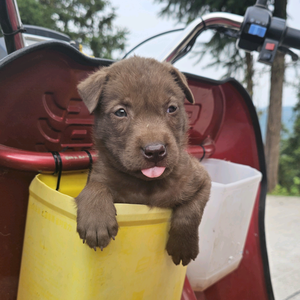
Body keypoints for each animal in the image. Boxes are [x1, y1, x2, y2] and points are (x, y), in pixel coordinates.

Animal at [75, 55, 211, 264]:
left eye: (171, 108)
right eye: (121, 112)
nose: (155, 150)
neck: (147, 185)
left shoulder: (201, 179)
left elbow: (191, 211)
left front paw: (183, 247)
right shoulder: (100, 174)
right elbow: (95, 186)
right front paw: (96, 221)